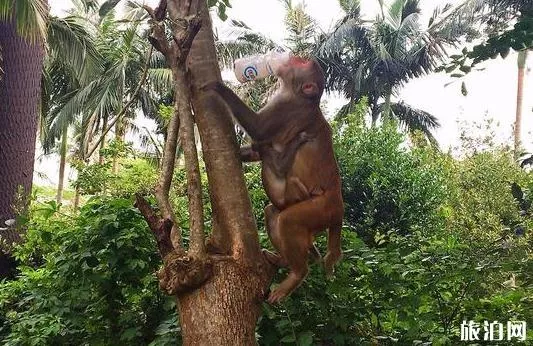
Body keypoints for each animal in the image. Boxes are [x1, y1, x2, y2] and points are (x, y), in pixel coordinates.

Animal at [204, 56, 344, 302]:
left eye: (301, 63)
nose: (292, 57)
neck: (303, 98)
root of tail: (339, 205)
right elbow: (259, 148)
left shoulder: (287, 107)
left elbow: (258, 129)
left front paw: (217, 86)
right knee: (273, 212)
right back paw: (285, 259)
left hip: (322, 208)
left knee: (288, 220)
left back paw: (297, 273)